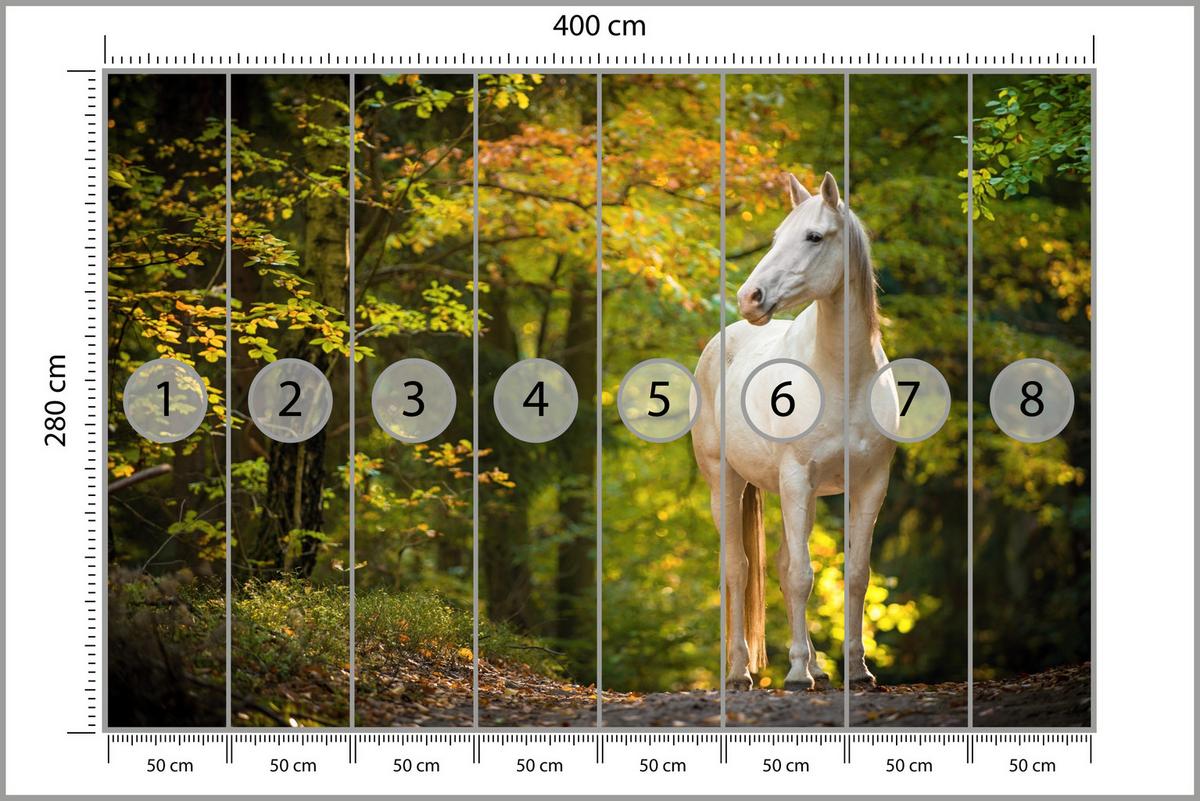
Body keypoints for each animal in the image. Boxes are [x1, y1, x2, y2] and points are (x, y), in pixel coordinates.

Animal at [692, 171, 897, 691]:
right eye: (776, 238)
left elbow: (855, 574)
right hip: (726, 481)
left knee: (783, 565)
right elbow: (803, 576)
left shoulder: (870, 484)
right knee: (738, 568)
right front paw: (797, 675)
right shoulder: (796, 478)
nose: (750, 298)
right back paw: (741, 671)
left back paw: (816, 667)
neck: (842, 378)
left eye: (814, 237)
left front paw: (857, 669)